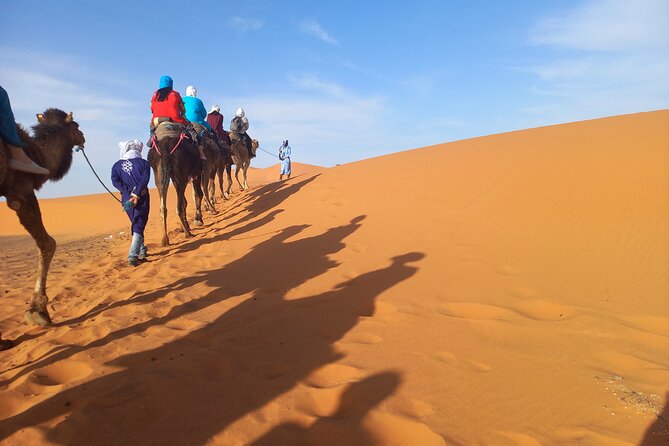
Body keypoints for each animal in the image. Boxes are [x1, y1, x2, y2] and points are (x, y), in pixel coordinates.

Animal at [0, 107, 86, 348]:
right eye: (76, 125)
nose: (83, 136)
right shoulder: (19, 190)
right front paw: (38, 311)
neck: (35, 154)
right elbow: (47, 243)